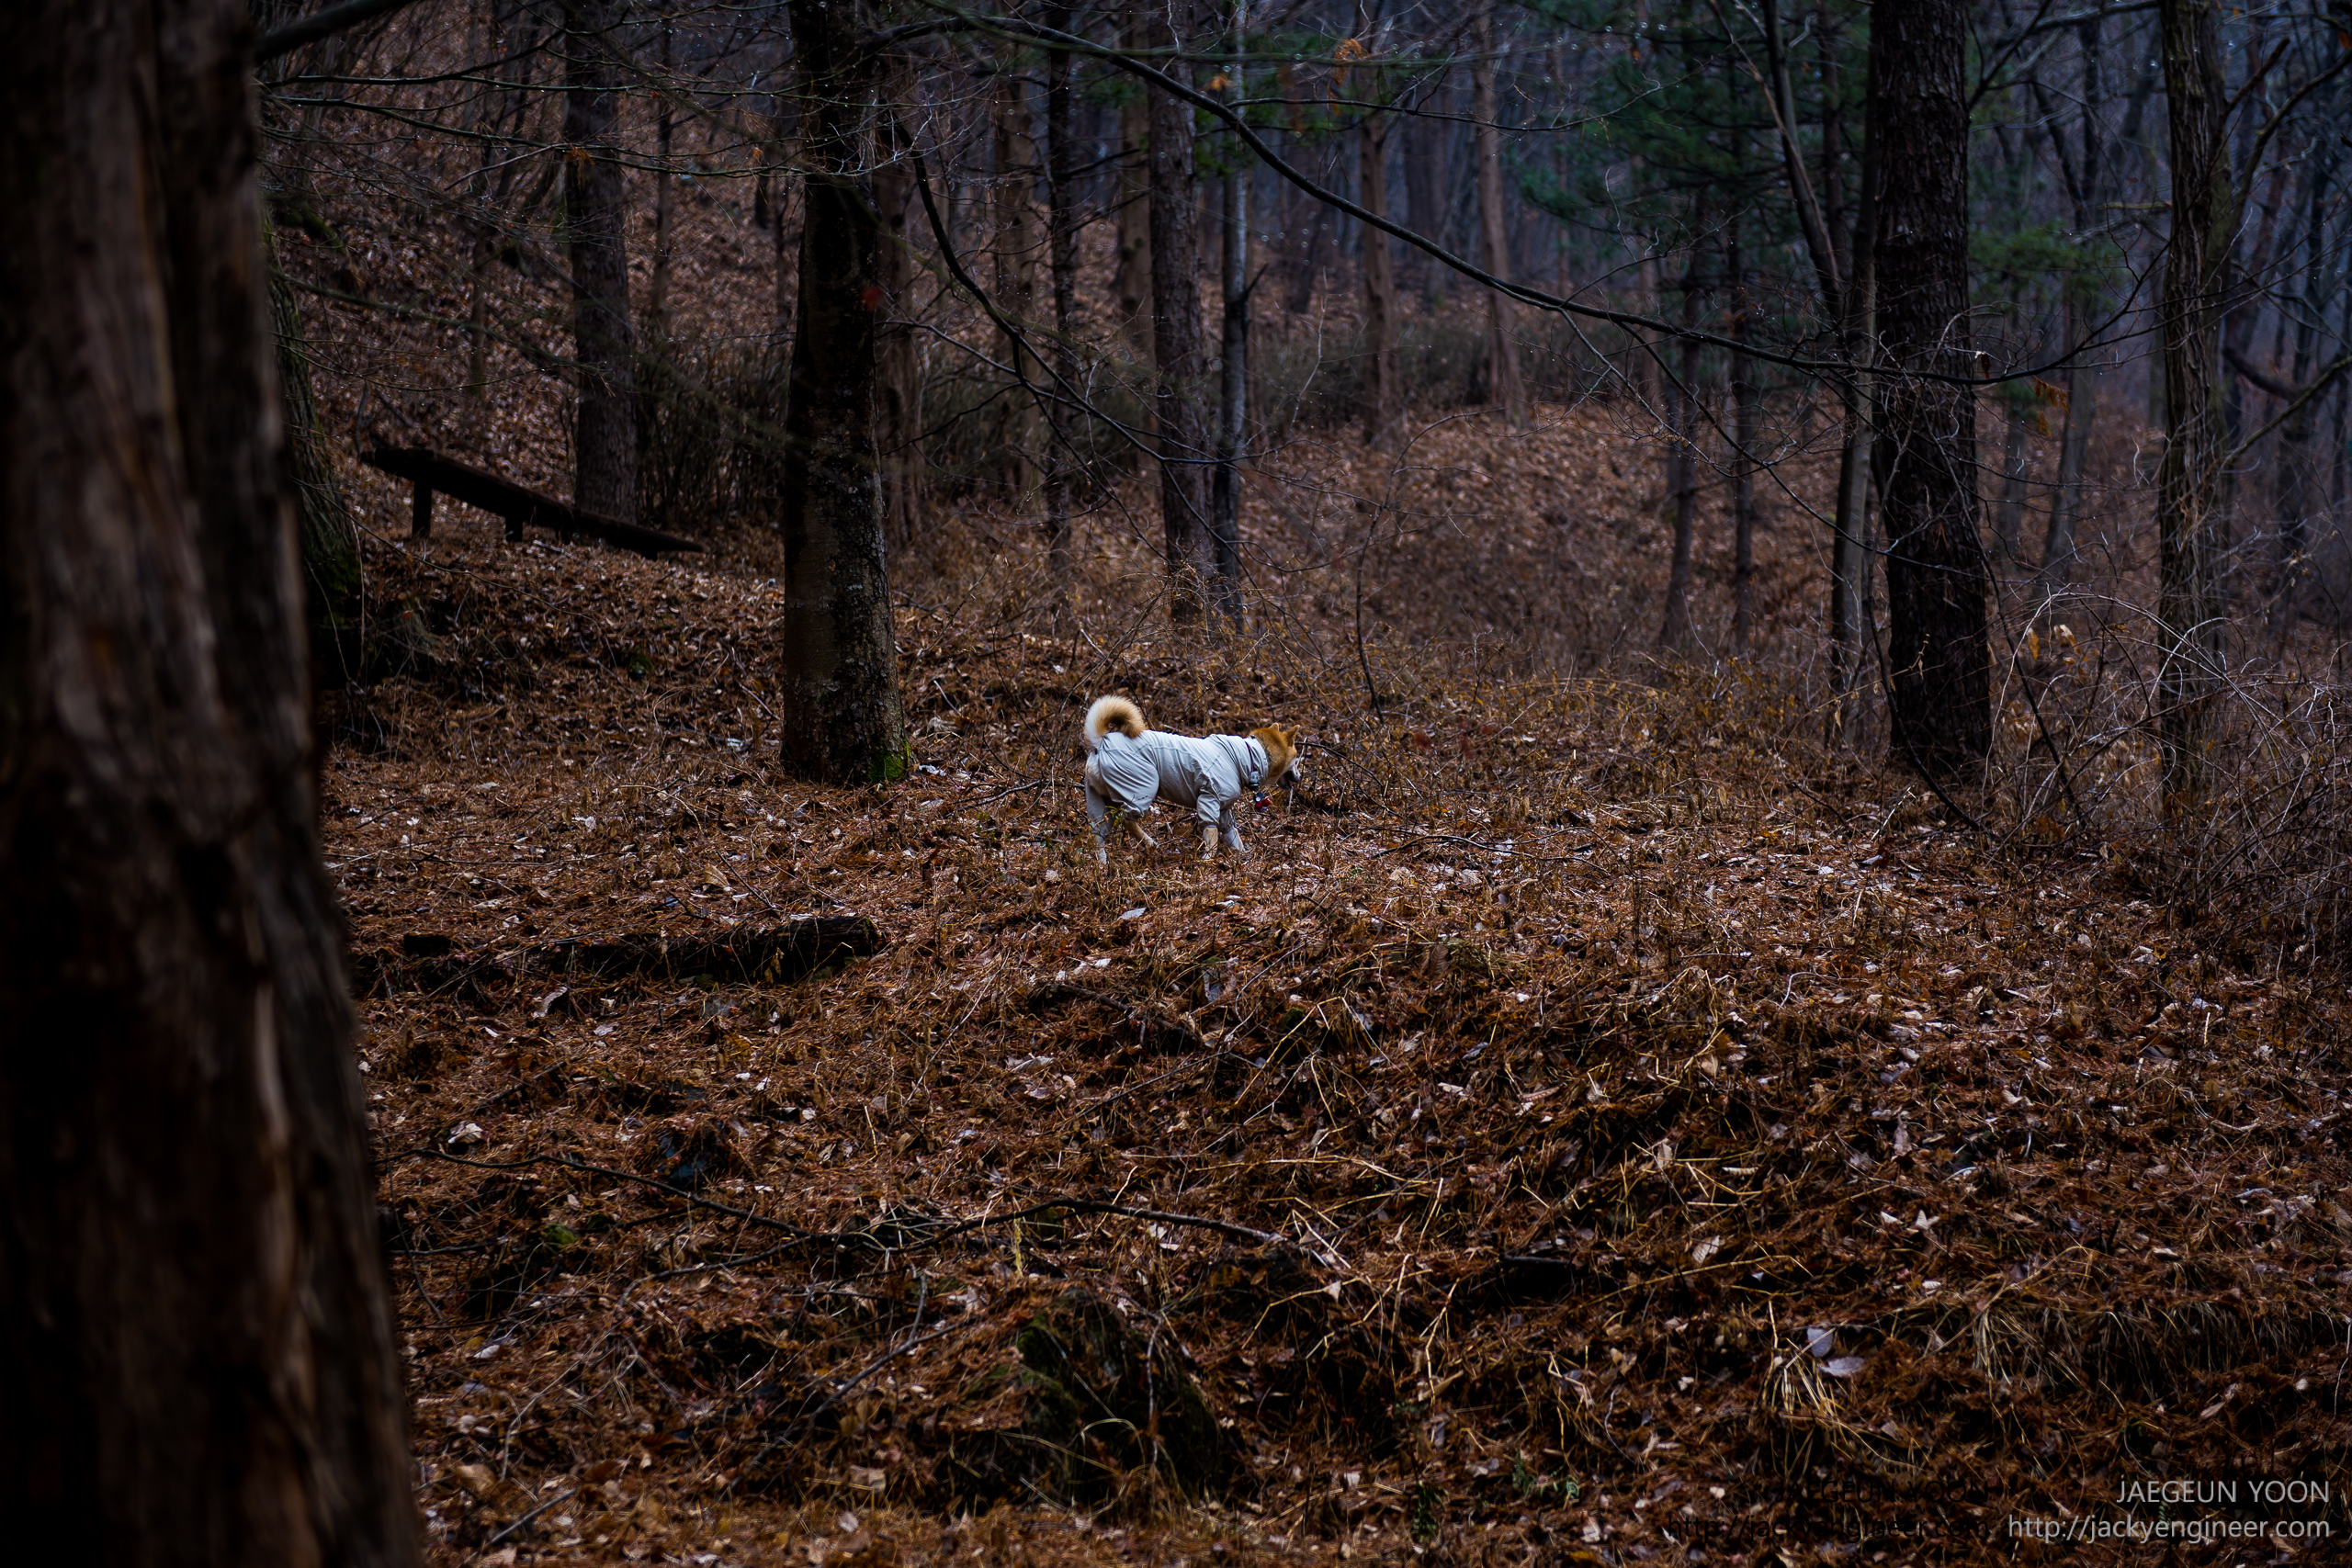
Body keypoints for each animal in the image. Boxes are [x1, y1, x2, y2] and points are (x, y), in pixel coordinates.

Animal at [1081, 695, 1300, 862]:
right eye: (1297, 758)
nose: (1300, 777)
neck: (1248, 757)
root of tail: (1100, 744)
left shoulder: (1224, 809)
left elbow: (1232, 834)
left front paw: (1242, 856)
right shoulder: (1209, 798)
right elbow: (1211, 834)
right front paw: (1208, 860)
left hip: (1100, 801)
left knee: (1098, 834)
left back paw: (1103, 865)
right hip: (1142, 789)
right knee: (1128, 821)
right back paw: (1151, 844)